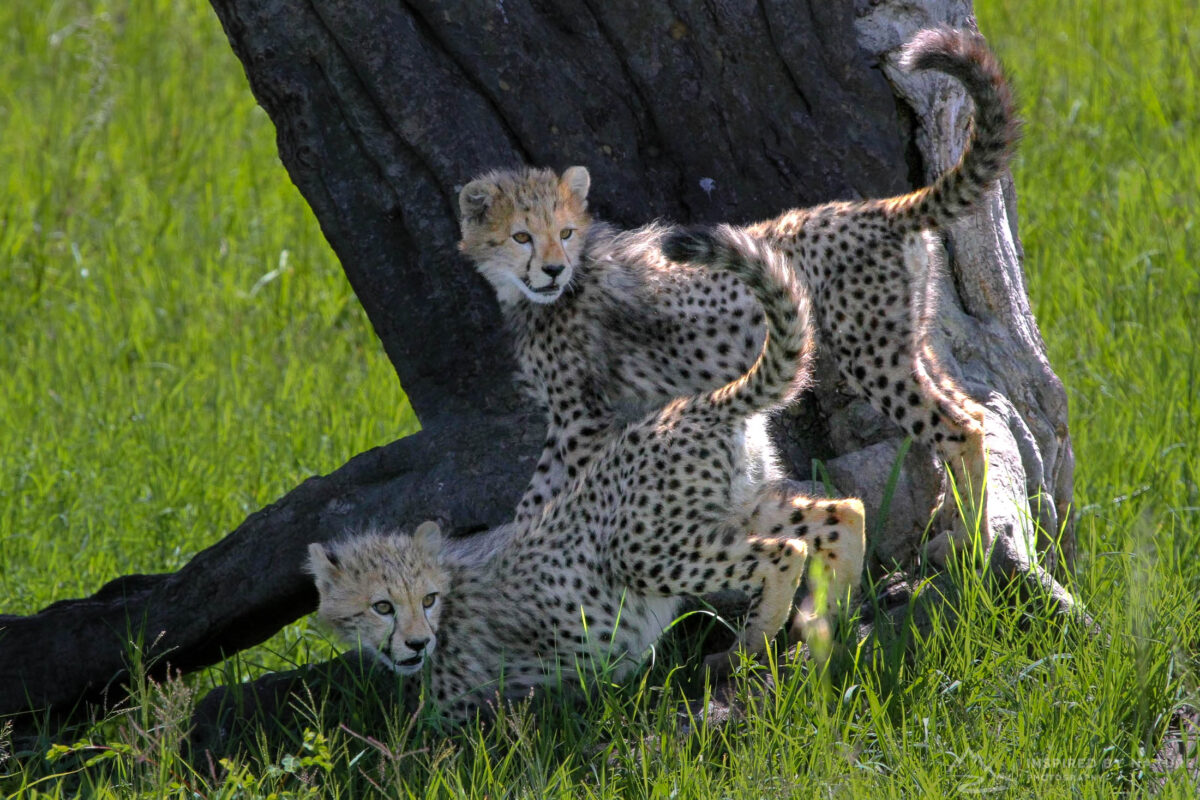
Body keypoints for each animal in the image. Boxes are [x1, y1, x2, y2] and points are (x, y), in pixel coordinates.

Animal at [310, 226, 866, 722]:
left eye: (427, 599)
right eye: (382, 606)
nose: (416, 642)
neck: (450, 593)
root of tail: (698, 403)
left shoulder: (473, 709)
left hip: (641, 550)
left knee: (784, 553)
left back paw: (746, 647)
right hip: (739, 504)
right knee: (843, 512)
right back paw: (826, 616)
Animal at [460, 27, 1018, 559]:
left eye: (565, 232)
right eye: (522, 237)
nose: (553, 270)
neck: (540, 296)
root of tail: (881, 208)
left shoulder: (580, 418)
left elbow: (541, 497)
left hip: (871, 355)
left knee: (955, 427)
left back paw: (971, 542)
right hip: (906, 342)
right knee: (973, 413)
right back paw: (953, 522)